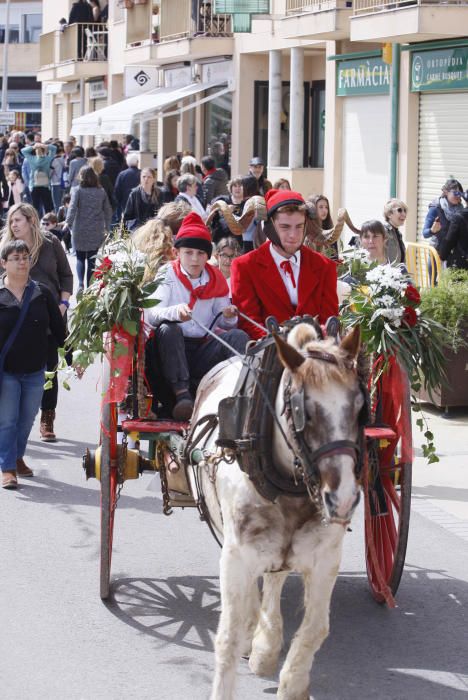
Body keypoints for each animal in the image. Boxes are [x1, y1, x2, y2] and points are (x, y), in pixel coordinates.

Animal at [188, 322, 364, 700]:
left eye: (359, 407)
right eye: (303, 411)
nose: (342, 498)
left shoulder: (325, 557)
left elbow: (316, 628)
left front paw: (291, 682)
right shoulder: (236, 554)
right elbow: (227, 637)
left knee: (275, 576)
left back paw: (265, 644)